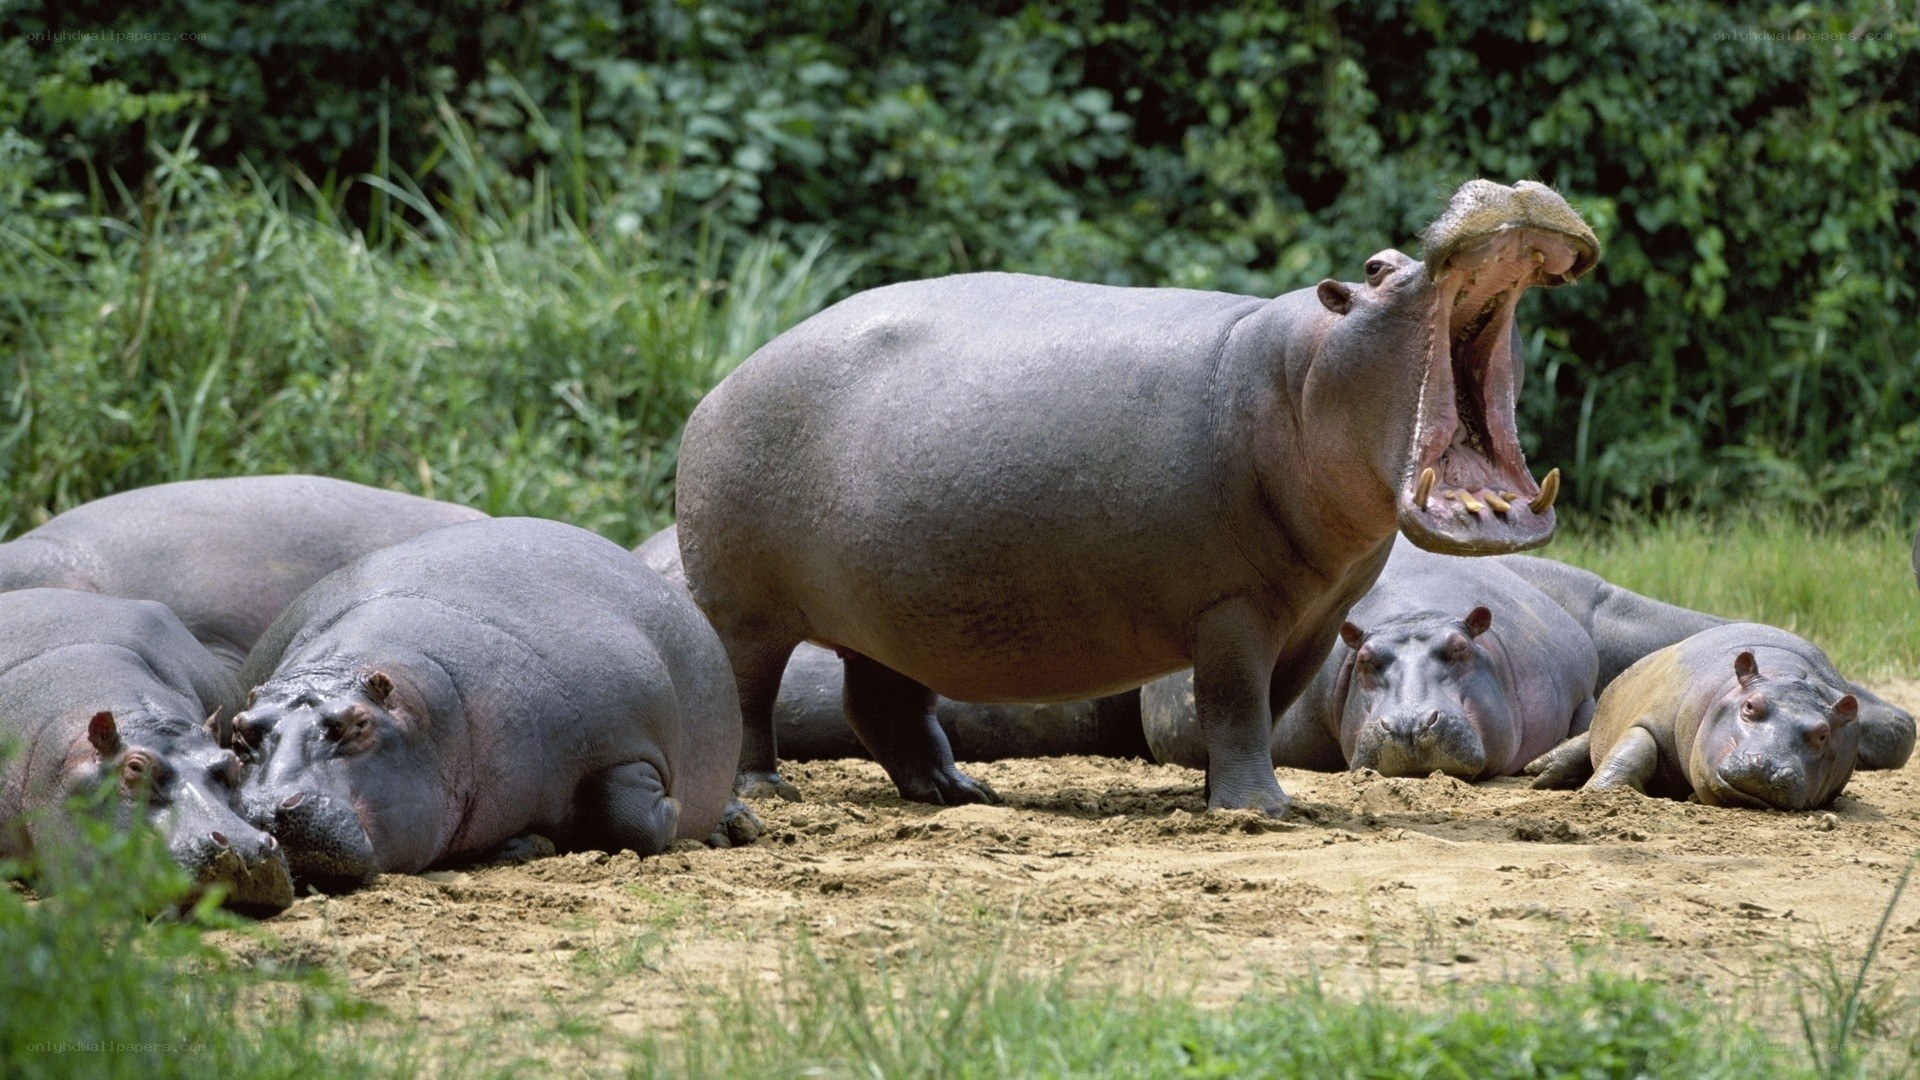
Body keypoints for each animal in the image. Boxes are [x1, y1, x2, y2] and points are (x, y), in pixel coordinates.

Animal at [233, 518, 747, 887]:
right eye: (240, 730)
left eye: (357, 724)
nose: (264, 810)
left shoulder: (628, 738)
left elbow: (629, 818)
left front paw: (677, 811)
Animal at [1527, 623, 1863, 809]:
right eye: (1749, 706)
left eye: (1822, 734)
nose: (1767, 765)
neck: (1789, 675)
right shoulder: (1654, 718)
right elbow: (1633, 750)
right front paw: (1601, 793)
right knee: (1586, 742)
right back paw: (1539, 773)